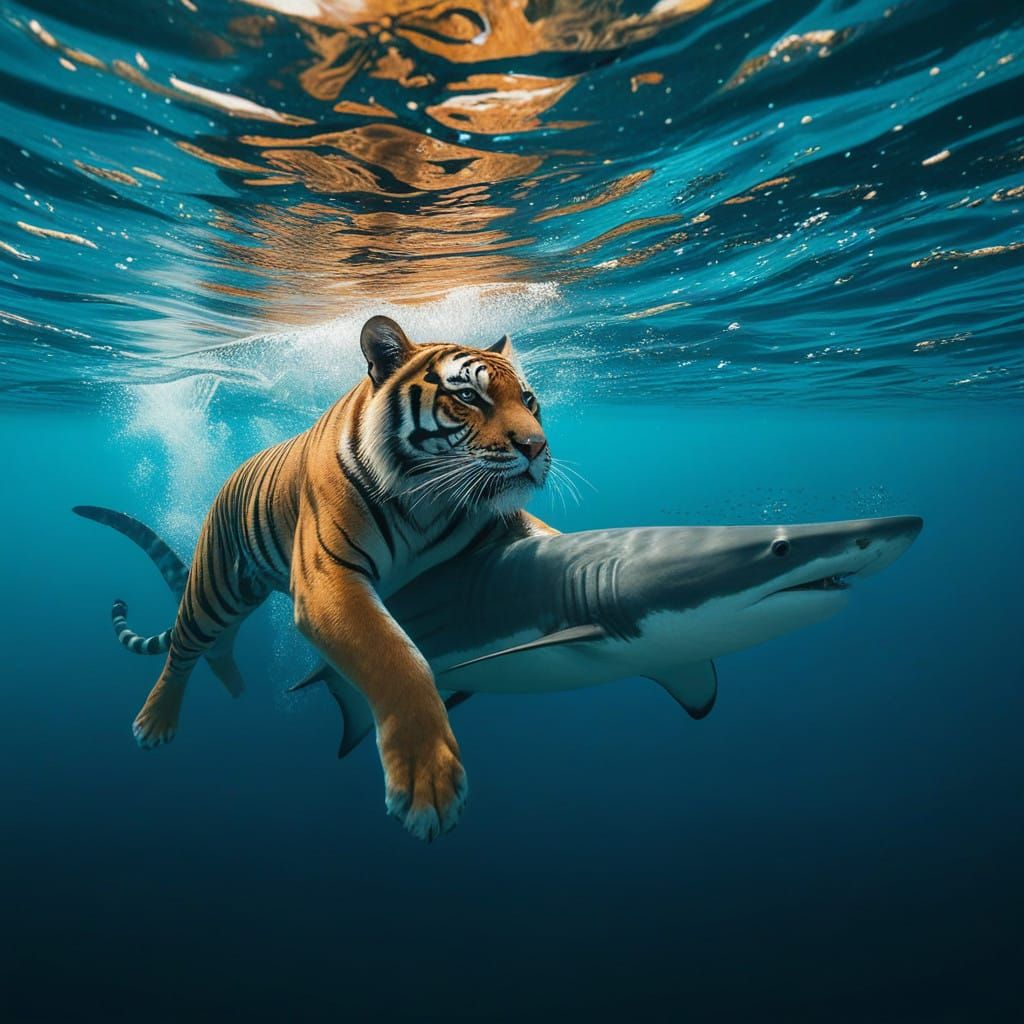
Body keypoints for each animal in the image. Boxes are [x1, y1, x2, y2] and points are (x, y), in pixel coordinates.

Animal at [123, 315, 555, 841]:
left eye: (528, 400)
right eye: (470, 396)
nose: (536, 447)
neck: (429, 501)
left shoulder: (500, 522)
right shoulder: (327, 582)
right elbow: (397, 659)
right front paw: (428, 784)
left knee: (217, 647)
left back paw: (235, 687)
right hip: (213, 587)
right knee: (183, 649)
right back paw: (154, 723)